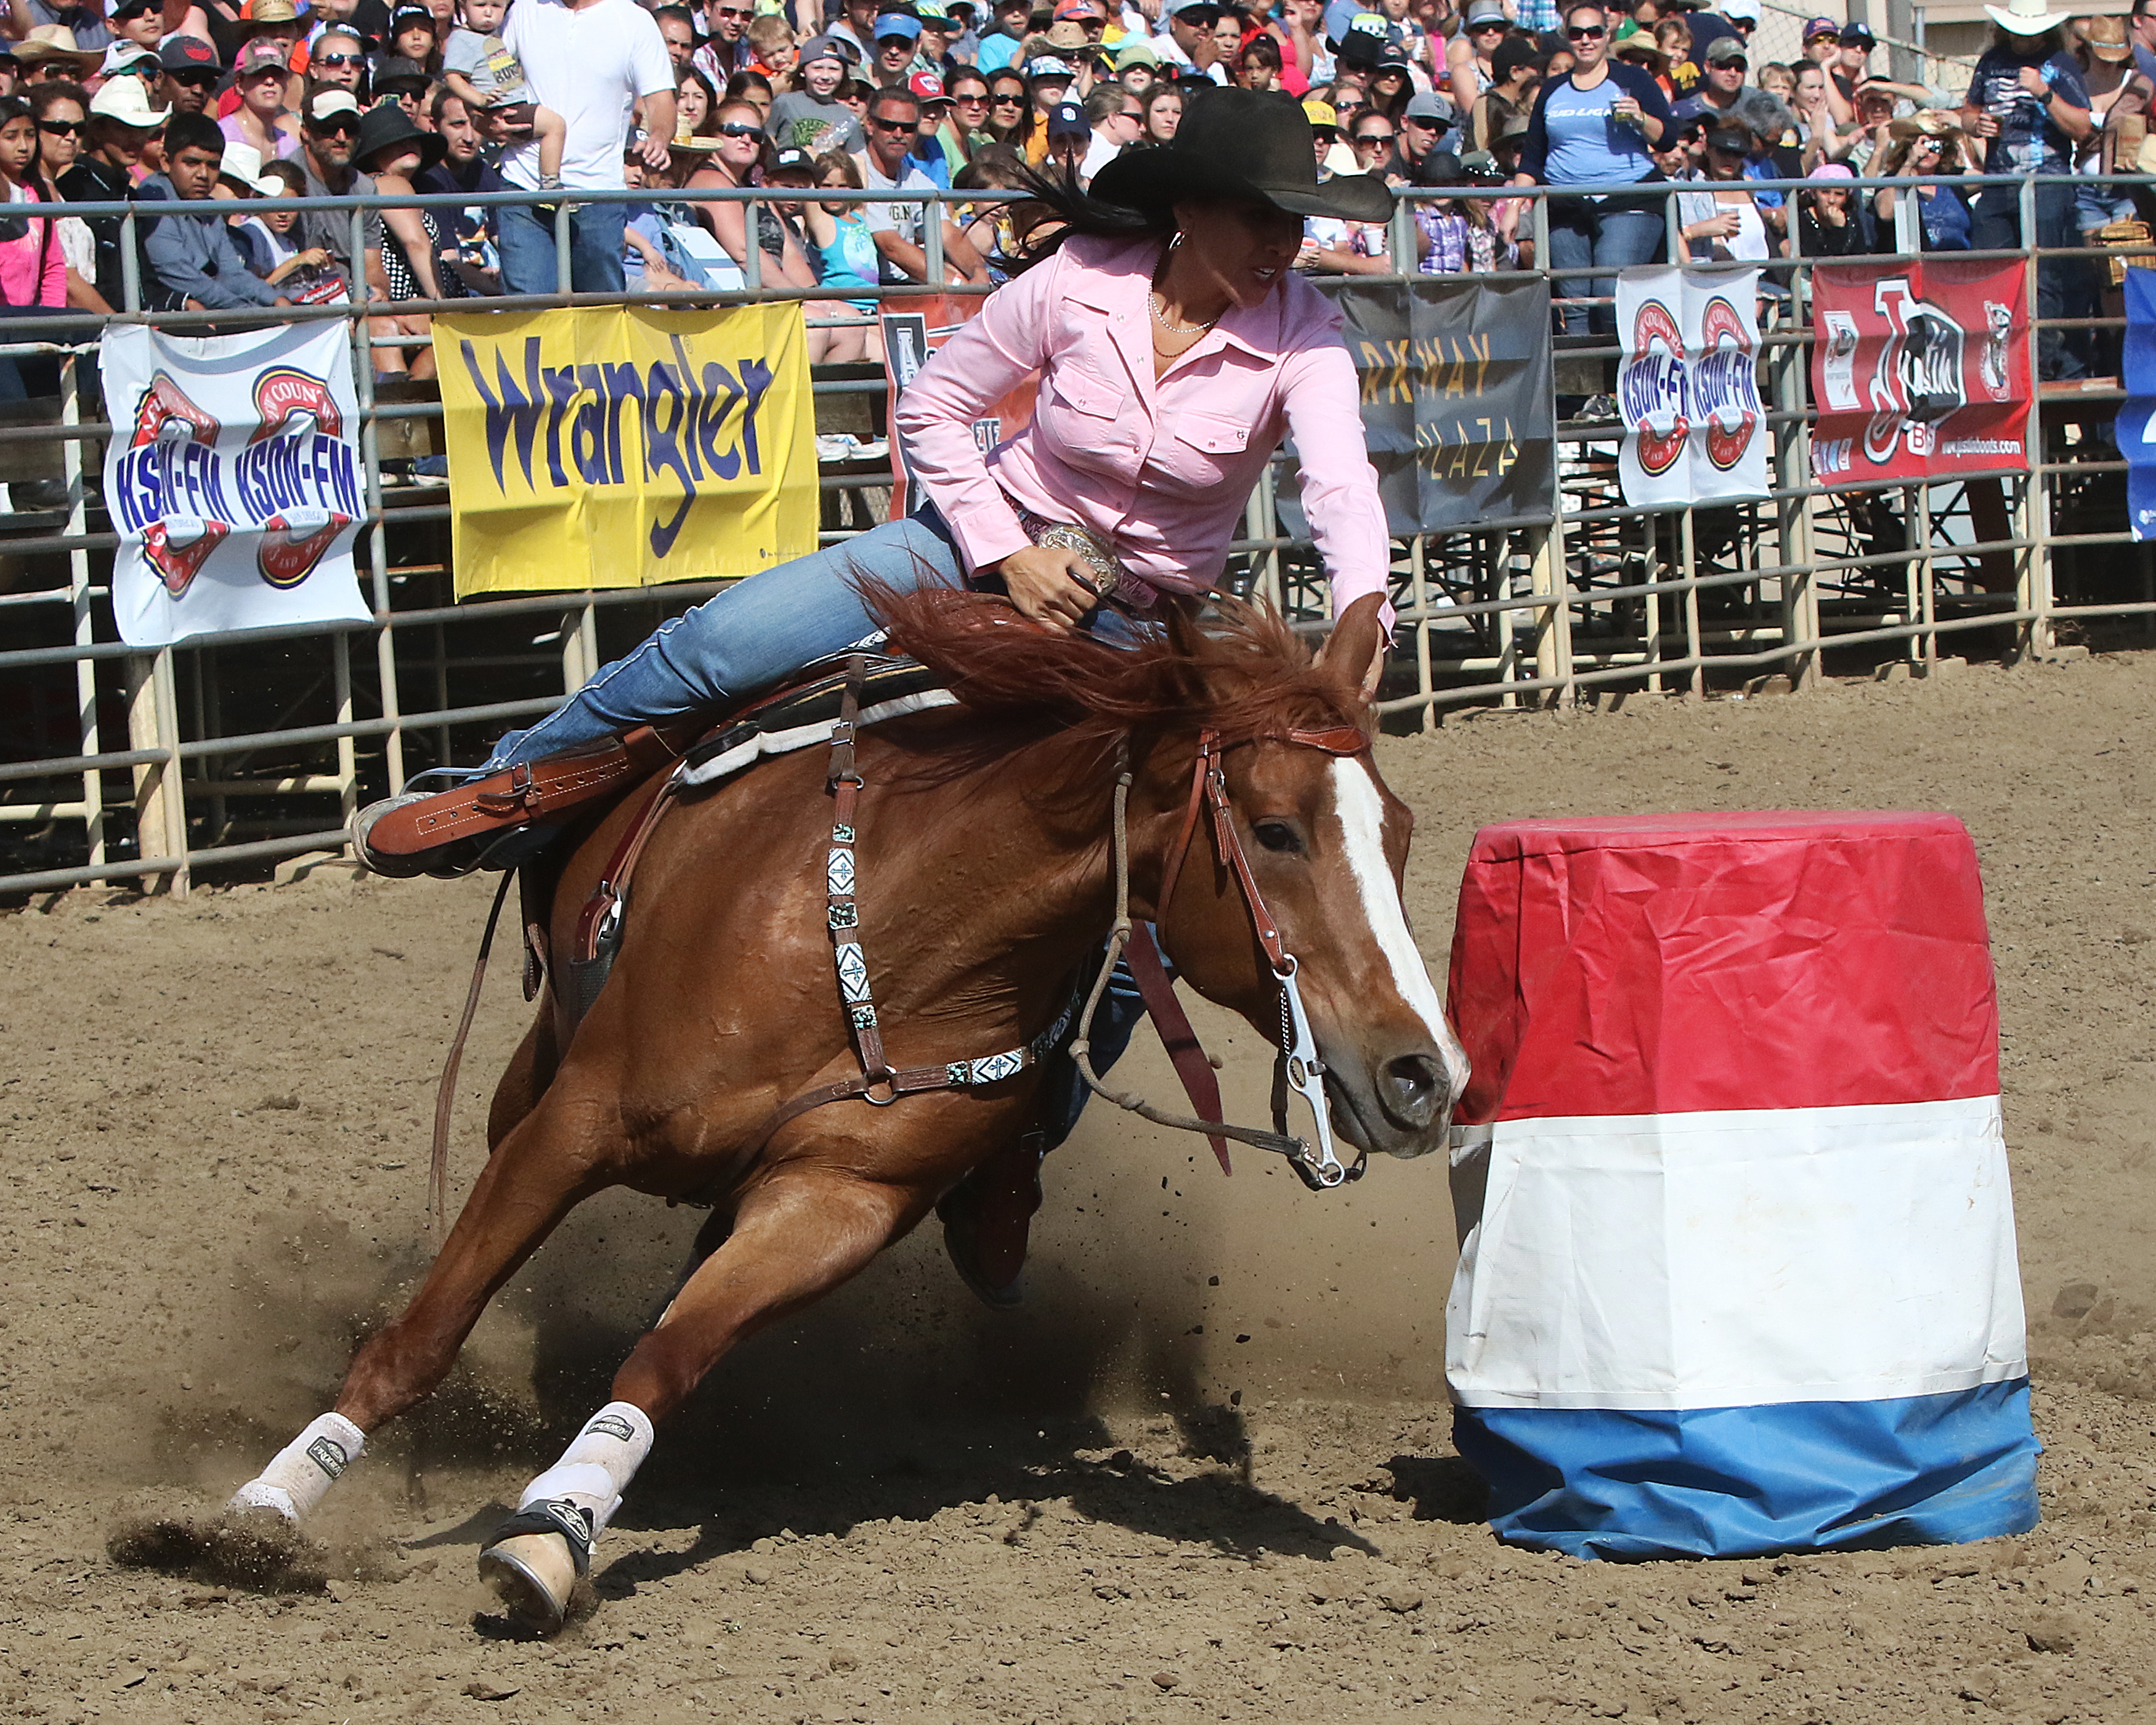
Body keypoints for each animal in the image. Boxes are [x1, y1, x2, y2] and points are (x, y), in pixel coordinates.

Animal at [214, 591, 1466, 1630]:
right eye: (1276, 830)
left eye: (1404, 832)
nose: (1425, 1077)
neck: (893, 940)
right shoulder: (579, 1124)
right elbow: (420, 1338)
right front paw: (266, 1507)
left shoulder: (837, 1202)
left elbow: (664, 1359)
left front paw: (558, 1529)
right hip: (541, 1064)